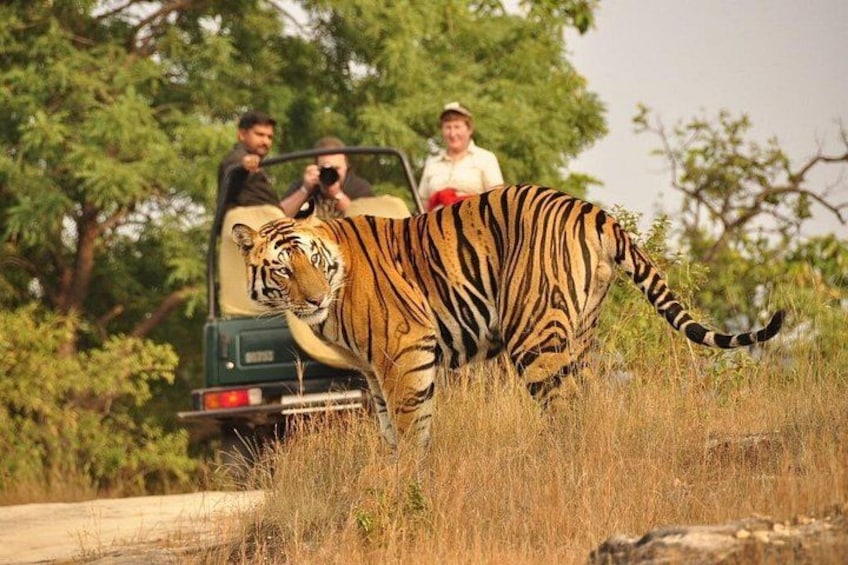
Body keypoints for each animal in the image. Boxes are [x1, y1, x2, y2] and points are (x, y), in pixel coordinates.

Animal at [232, 184, 784, 449]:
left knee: (565, 409)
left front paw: (410, 486)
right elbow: (391, 430)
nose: (313, 299)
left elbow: (412, 430)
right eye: (283, 269)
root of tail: (593, 210)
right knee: (587, 402)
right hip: (580, 333)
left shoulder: (405, 353)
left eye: (312, 259)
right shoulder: (374, 372)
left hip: (534, 336)